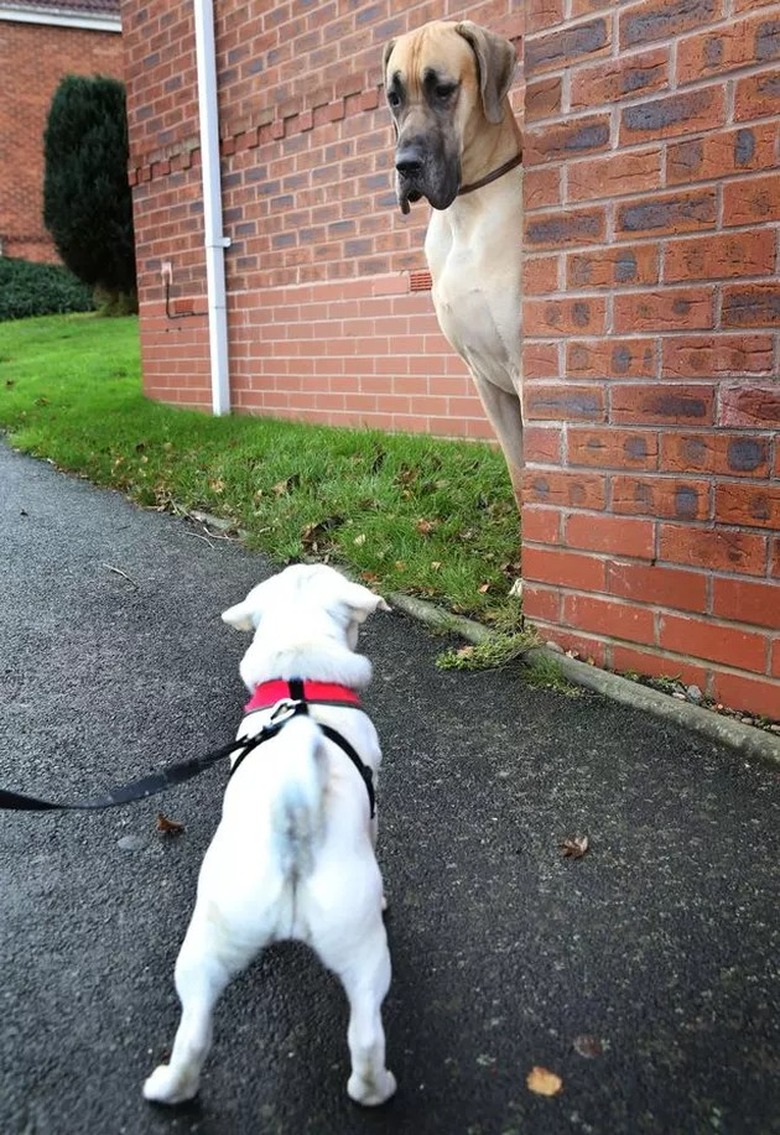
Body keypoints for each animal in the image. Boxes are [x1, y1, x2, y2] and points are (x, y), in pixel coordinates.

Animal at [143, 562, 397, 1103]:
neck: (299, 678)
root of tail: (292, 829)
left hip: (207, 947)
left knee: (194, 1032)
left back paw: (169, 1087)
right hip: (366, 945)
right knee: (367, 1036)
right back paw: (376, 1087)